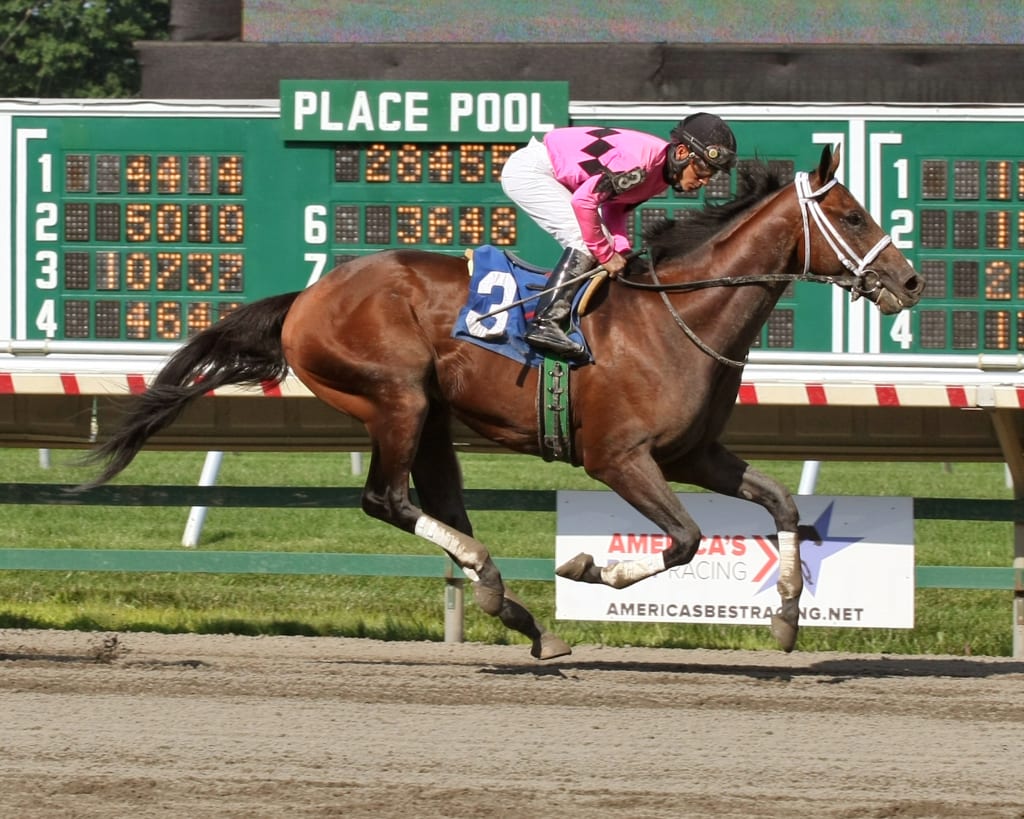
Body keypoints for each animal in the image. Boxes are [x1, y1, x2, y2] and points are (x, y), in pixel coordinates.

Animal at [83, 144, 925, 663]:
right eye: (851, 216)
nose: (911, 281)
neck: (674, 318)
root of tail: (309, 296)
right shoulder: (620, 458)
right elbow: (685, 539)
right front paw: (590, 566)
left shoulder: (695, 453)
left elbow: (783, 503)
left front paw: (785, 617)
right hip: (396, 397)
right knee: (386, 498)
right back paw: (495, 582)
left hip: (431, 419)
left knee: (437, 504)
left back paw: (516, 611)